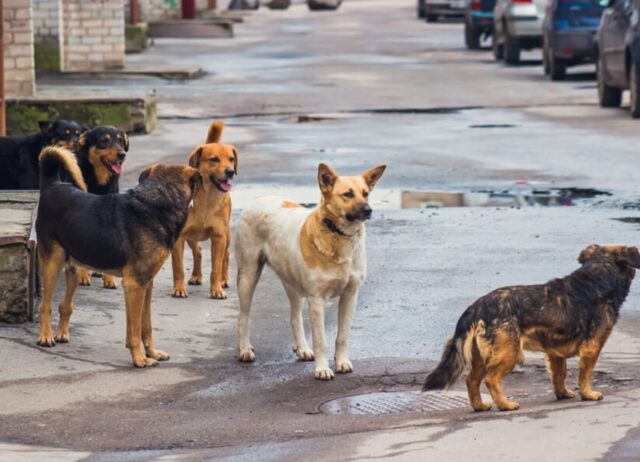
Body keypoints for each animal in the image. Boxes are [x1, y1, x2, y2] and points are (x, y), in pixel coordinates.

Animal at [74, 124, 129, 286]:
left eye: (121, 141)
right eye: (104, 141)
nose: (122, 154)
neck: (99, 181)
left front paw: (109, 279)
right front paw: (83, 275)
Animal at [235, 162, 384, 378]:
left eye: (366, 193)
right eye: (348, 194)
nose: (368, 210)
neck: (338, 235)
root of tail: (259, 199)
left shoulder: (350, 296)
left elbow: (342, 336)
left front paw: (342, 362)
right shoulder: (317, 300)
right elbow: (321, 340)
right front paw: (322, 369)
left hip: (293, 284)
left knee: (294, 318)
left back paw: (302, 348)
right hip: (248, 275)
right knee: (244, 316)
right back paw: (245, 349)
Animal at [422, 245, 636, 412]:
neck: (598, 276)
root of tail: (476, 308)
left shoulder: (555, 353)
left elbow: (560, 374)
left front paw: (562, 393)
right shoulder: (592, 348)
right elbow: (585, 374)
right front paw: (588, 394)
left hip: (482, 357)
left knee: (471, 380)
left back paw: (479, 406)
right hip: (510, 353)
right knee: (491, 380)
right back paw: (505, 405)